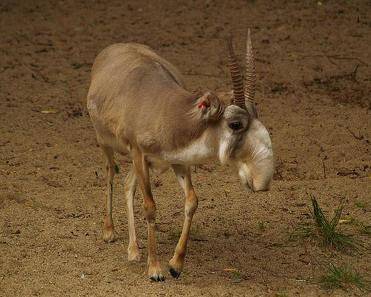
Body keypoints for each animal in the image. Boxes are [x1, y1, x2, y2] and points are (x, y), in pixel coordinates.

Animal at [86, 29, 274, 280]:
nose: (261, 181)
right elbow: (150, 207)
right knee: (110, 173)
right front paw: (155, 269)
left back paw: (134, 250)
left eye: (257, 113)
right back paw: (109, 231)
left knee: (127, 183)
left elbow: (192, 201)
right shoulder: (139, 154)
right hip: (106, 143)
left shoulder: (178, 162)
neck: (166, 113)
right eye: (235, 124)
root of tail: (111, 50)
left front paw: (175, 265)